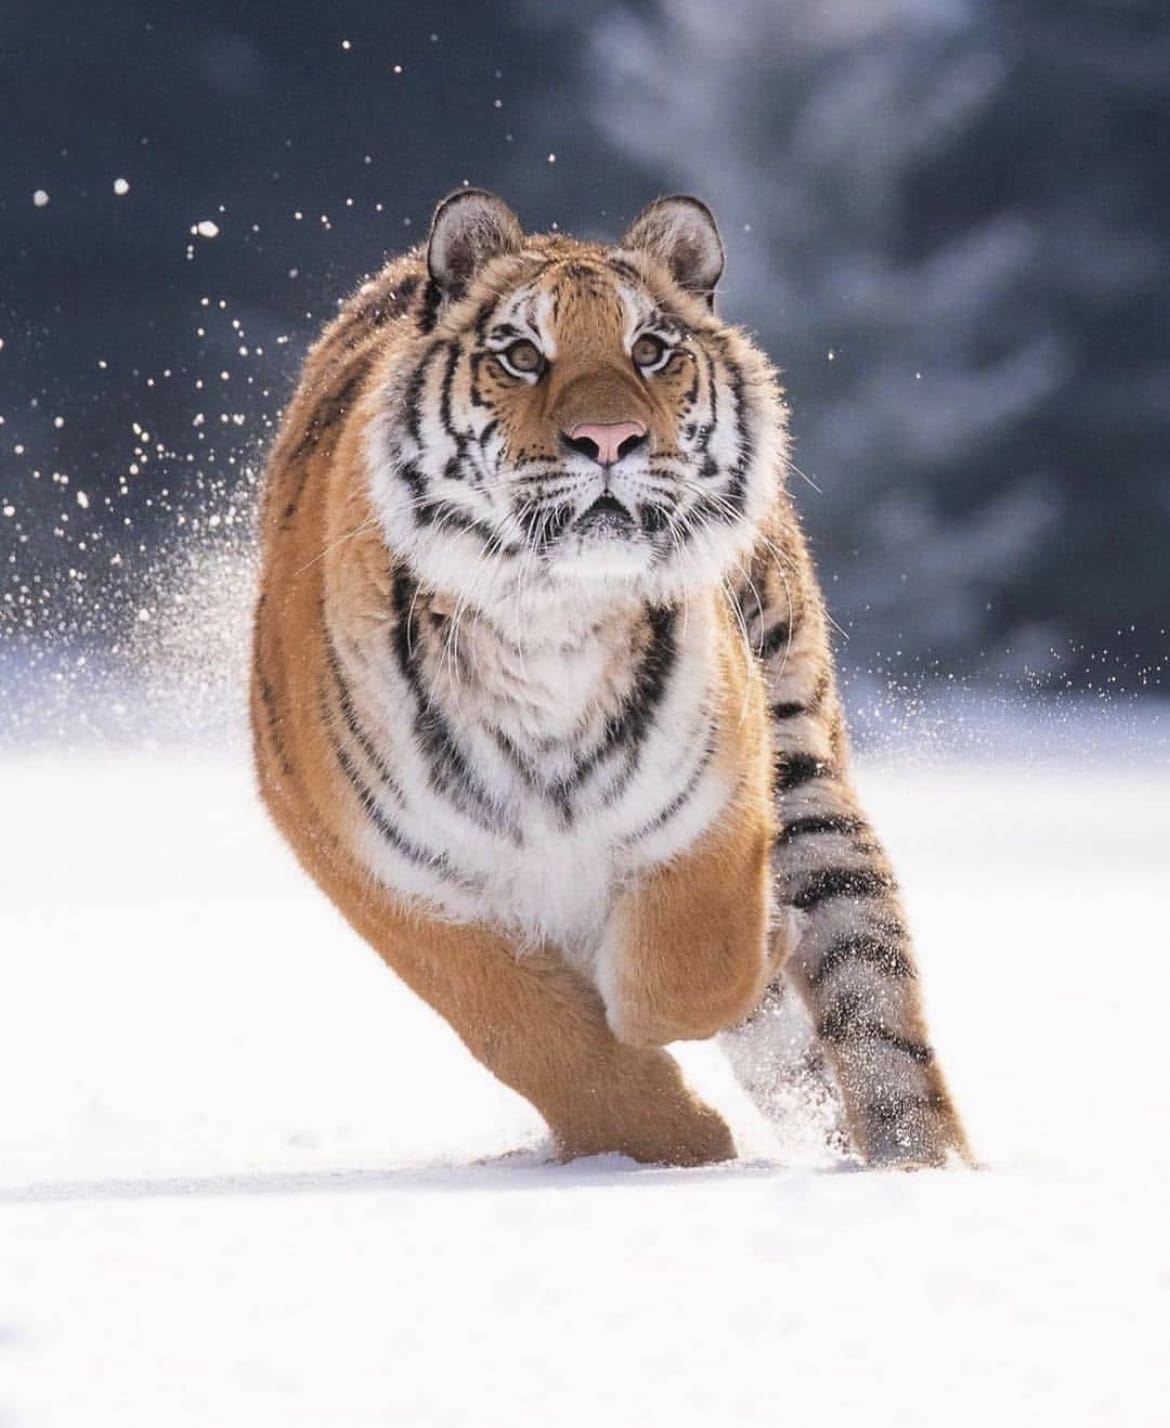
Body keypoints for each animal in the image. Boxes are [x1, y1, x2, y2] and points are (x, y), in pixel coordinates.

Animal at [251, 187, 977, 1170]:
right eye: (523, 354)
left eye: (652, 350)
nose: (609, 439)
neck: (551, 619)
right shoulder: (380, 867)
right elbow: (528, 1032)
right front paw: (676, 1140)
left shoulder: (716, 798)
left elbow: (687, 972)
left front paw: (753, 950)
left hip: (807, 763)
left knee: (876, 1010)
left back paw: (925, 1168)